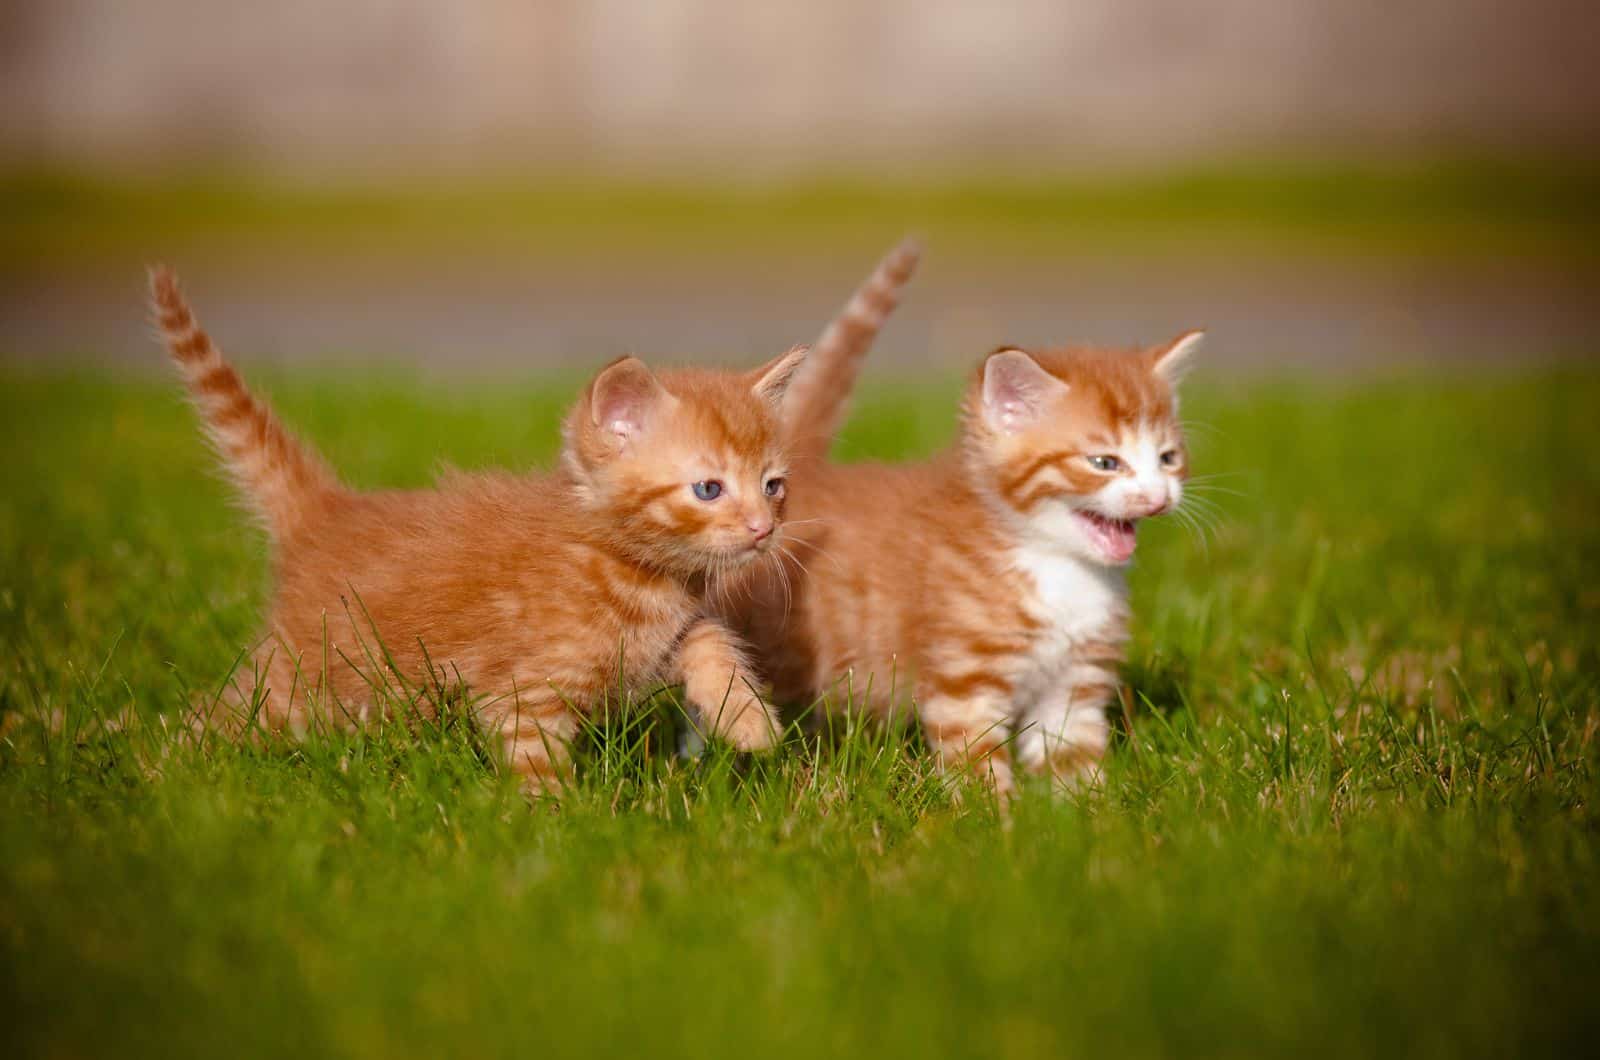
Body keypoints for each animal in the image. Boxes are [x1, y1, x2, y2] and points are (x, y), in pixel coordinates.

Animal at [150, 270, 806, 794]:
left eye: (773, 484)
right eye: (709, 489)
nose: (762, 528)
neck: (634, 573)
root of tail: (329, 511)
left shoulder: (661, 640)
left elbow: (710, 640)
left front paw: (748, 720)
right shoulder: (523, 693)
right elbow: (534, 757)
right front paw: (557, 823)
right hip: (300, 679)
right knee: (228, 714)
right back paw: (159, 763)